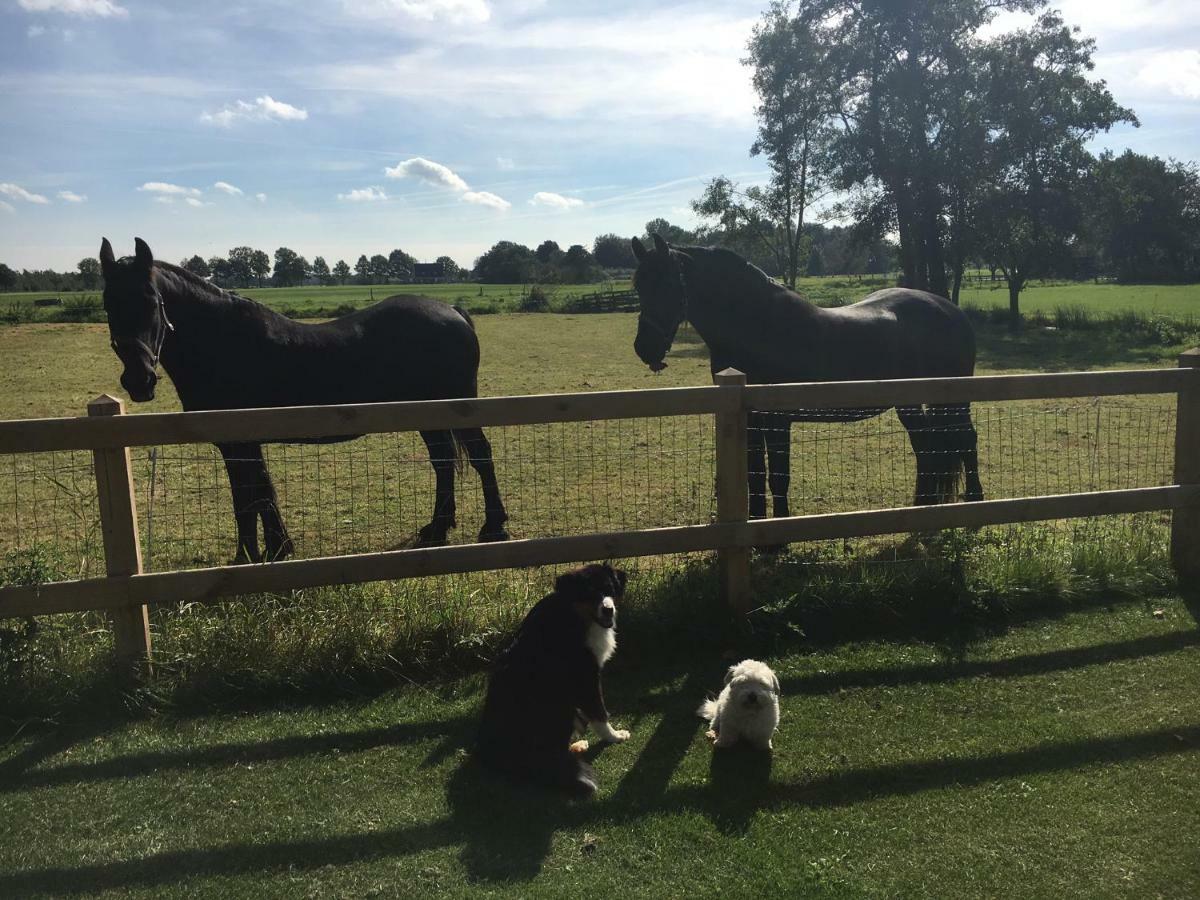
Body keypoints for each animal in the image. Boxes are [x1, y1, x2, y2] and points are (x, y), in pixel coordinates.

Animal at [100, 240, 508, 564]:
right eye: (108, 305)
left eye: (153, 302)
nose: (139, 380)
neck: (224, 342)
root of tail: (454, 312)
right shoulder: (239, 443)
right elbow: (257, 492)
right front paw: (272, 549)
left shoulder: (239, 442)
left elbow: (250, 496)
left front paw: (253, 554)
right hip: (427, 415)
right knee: (443, 462)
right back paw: (436, 529)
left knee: (480, 455)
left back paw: (494, 528)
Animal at [475, 564, 633, 796]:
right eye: (589, 593)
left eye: (610, 589)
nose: (608, 610)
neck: (574, 616)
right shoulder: (585, 677)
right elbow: (600, 713)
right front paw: (614, 736)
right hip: (559, 705)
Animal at [633, 234, 979, 520]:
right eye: (638, 285)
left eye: (667, 284)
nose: (644, 348)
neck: (757, 324)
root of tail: (951, 310)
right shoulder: (749, 416)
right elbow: (754, 473)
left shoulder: (776, 418)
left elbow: (778, 475)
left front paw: (776, 538)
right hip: (910, 401)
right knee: (927, 446)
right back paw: (923, 507)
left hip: (953, 401)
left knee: (966, 440)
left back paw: (974, 502)